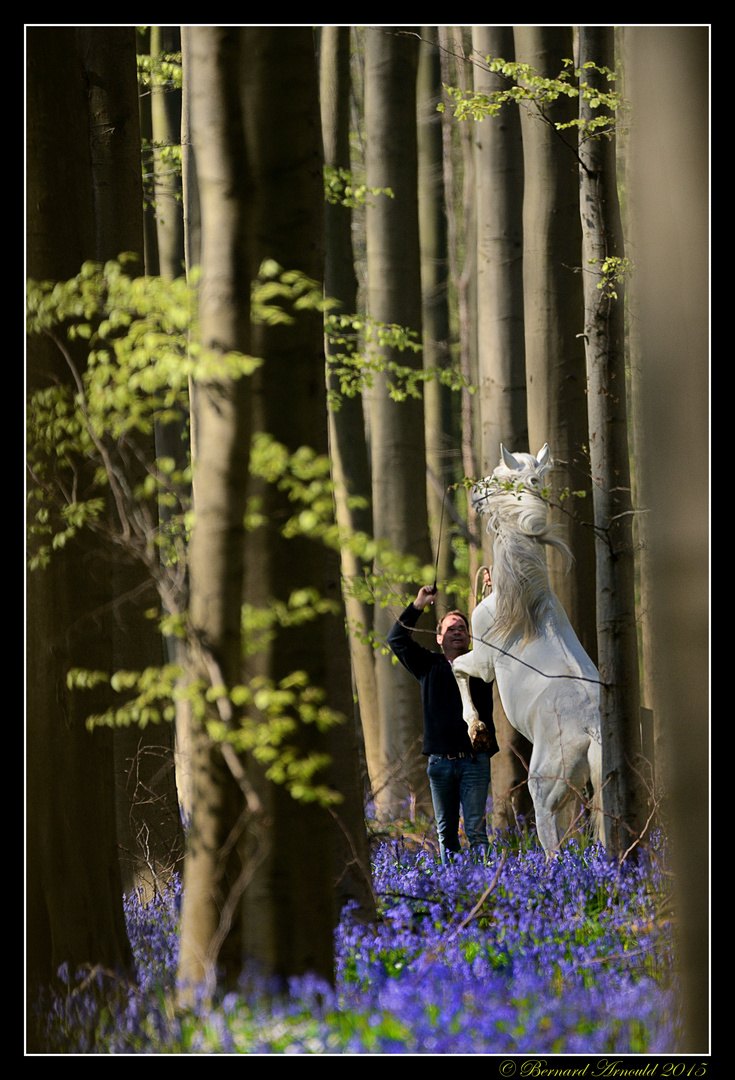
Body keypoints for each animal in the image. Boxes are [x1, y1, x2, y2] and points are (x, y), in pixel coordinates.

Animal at [453, 442, 600, 855]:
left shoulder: (483, 662)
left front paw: (475, 728)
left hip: (545, 793)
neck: (527, 599)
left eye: (498, 476)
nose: (474, 493)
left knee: (553, 851)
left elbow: (456, 667)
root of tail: (592, 729)